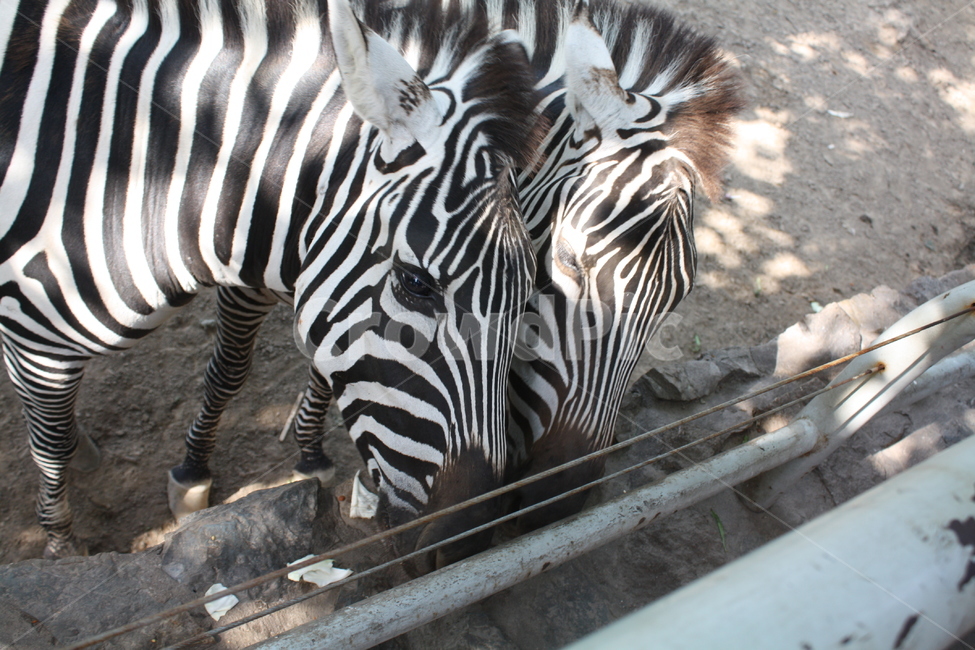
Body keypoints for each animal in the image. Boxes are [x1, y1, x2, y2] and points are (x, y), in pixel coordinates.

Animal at [0, 0, 541, 561]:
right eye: (415, 283)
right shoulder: (38, 343)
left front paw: (307, 458)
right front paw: (63, 546)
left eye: (527, 294)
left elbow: (305, 365)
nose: (466, 536)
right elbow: (56, 440)